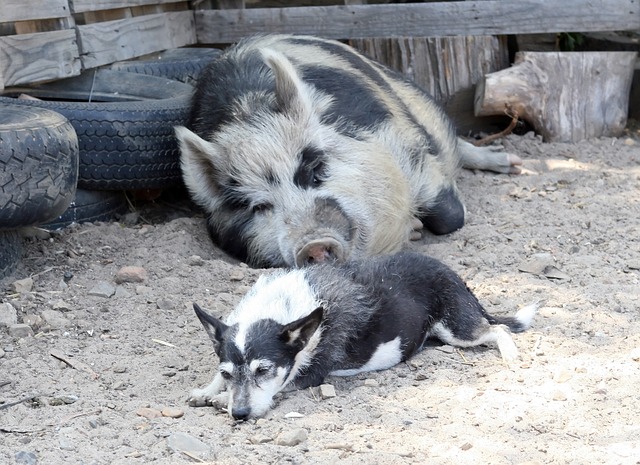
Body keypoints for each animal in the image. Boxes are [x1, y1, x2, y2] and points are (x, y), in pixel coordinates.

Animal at [175, 34, 520, 266]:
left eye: (315, 171)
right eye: (259, 207)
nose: (312, 243)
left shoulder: (405, 142)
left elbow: (451, 216)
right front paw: (415, 230)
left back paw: (513, 164)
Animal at [189, 252, 536, 418]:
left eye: (264, 370)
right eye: (228, 372)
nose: (240, 414)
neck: (283, 307)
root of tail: (455, 275)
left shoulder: (311, 373)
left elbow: (283, 383)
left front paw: (220, 399)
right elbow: (216, 378)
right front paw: (209, 390)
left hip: (458, 329)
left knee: (498, 328)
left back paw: (510, 355)